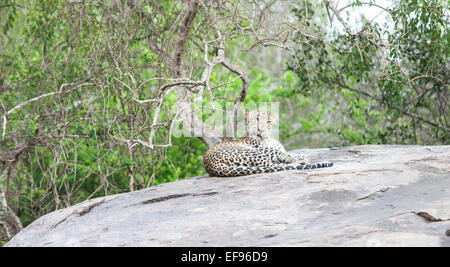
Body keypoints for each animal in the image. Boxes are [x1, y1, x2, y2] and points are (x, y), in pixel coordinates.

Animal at [202, 108, 332, 179]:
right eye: (257, 119)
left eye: (268, 121)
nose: (261, 130)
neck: (268, 138)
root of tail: (210, 166)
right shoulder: (261, 148)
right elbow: (281, 153)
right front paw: (299, 159)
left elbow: (288, 153)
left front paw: (303, 156)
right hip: (252, 153)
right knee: (273, 165)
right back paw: (300, 163)